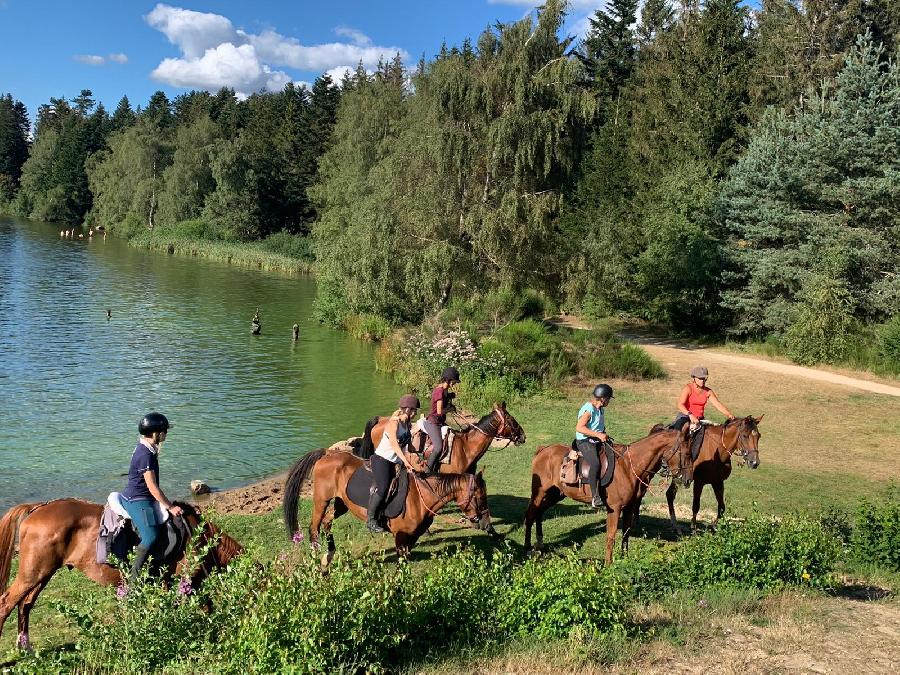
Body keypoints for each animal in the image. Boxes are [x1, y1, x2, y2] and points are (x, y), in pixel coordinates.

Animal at [0, 500, 243, 652]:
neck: (202, 540)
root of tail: (37, 508)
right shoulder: (186, 583)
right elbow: (202, 610)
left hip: (41, 574)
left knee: (25, 605)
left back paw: (25, 647)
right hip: (33, 574)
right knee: (7, 604)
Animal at [284, 448, 488, 572]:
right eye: (480, 497)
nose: (485, 523)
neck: (421, 498)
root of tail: (327, 453)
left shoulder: (412, 536)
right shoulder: (401, 535)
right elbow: (402, 564)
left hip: (341, 503)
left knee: (327, 522)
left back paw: (328, 556)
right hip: (322, 500)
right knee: (314, 527)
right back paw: (316, 557)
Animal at [524, 430, 692, 568]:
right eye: (686, 454)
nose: (688, 480)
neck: (628, 467)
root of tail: (543, 450)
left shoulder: (629, 507)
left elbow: (625, 534)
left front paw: (625, 558)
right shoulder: (614, 509)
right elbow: (611, 536)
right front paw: (608, 564)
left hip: (555, 494)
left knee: (539, 513)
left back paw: (539, 543)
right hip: (540, 493)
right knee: (531, 514)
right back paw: (527, 548)